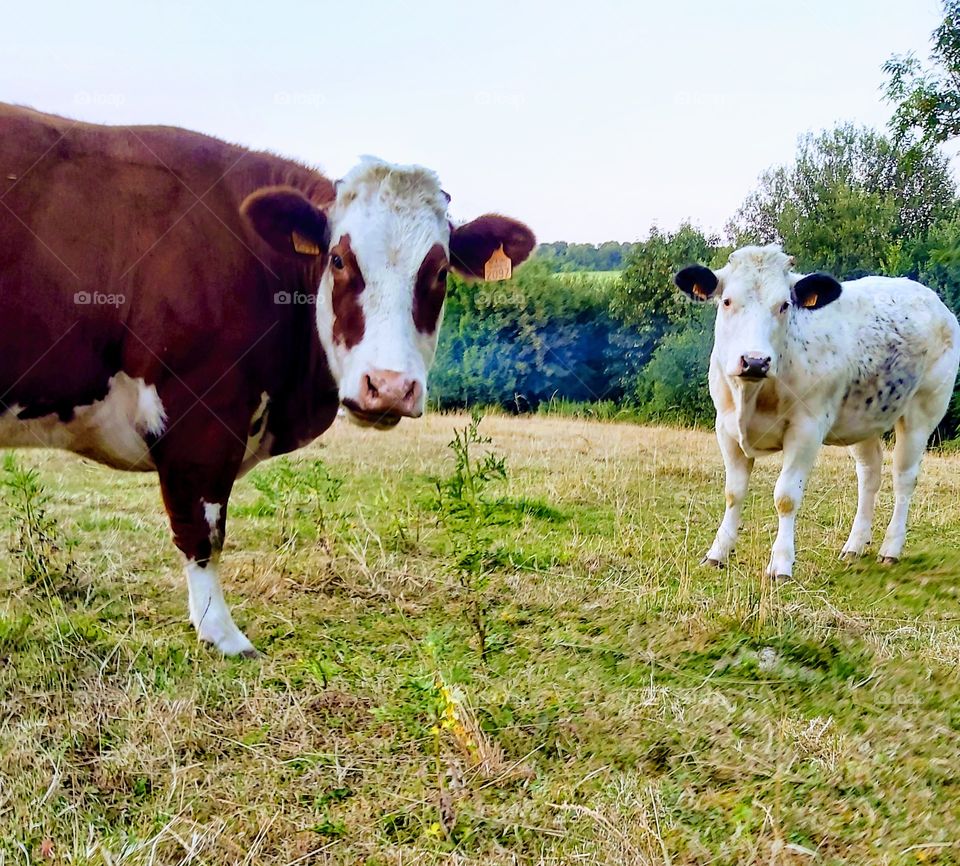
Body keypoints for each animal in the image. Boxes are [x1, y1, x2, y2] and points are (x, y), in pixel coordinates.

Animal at [0, 103, 535, 655]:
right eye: (338, 259)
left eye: (441, 271)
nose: (388, 386)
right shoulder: (202, 415)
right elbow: (203, 532)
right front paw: (221, 633)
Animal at [674, 244, 960, 579]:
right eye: (728, 301)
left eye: (784, 305)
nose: (755, 361)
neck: (753, 395)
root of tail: (930, 297)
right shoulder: (726, 428)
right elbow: (734, 492)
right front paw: (717, 553)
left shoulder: (806, 429)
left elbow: (786, 497)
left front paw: (781, 564)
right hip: (862, 418)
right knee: (870, 474)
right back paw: (854, 546)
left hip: (923, 411)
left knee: (904, 477)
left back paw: (890, 549)